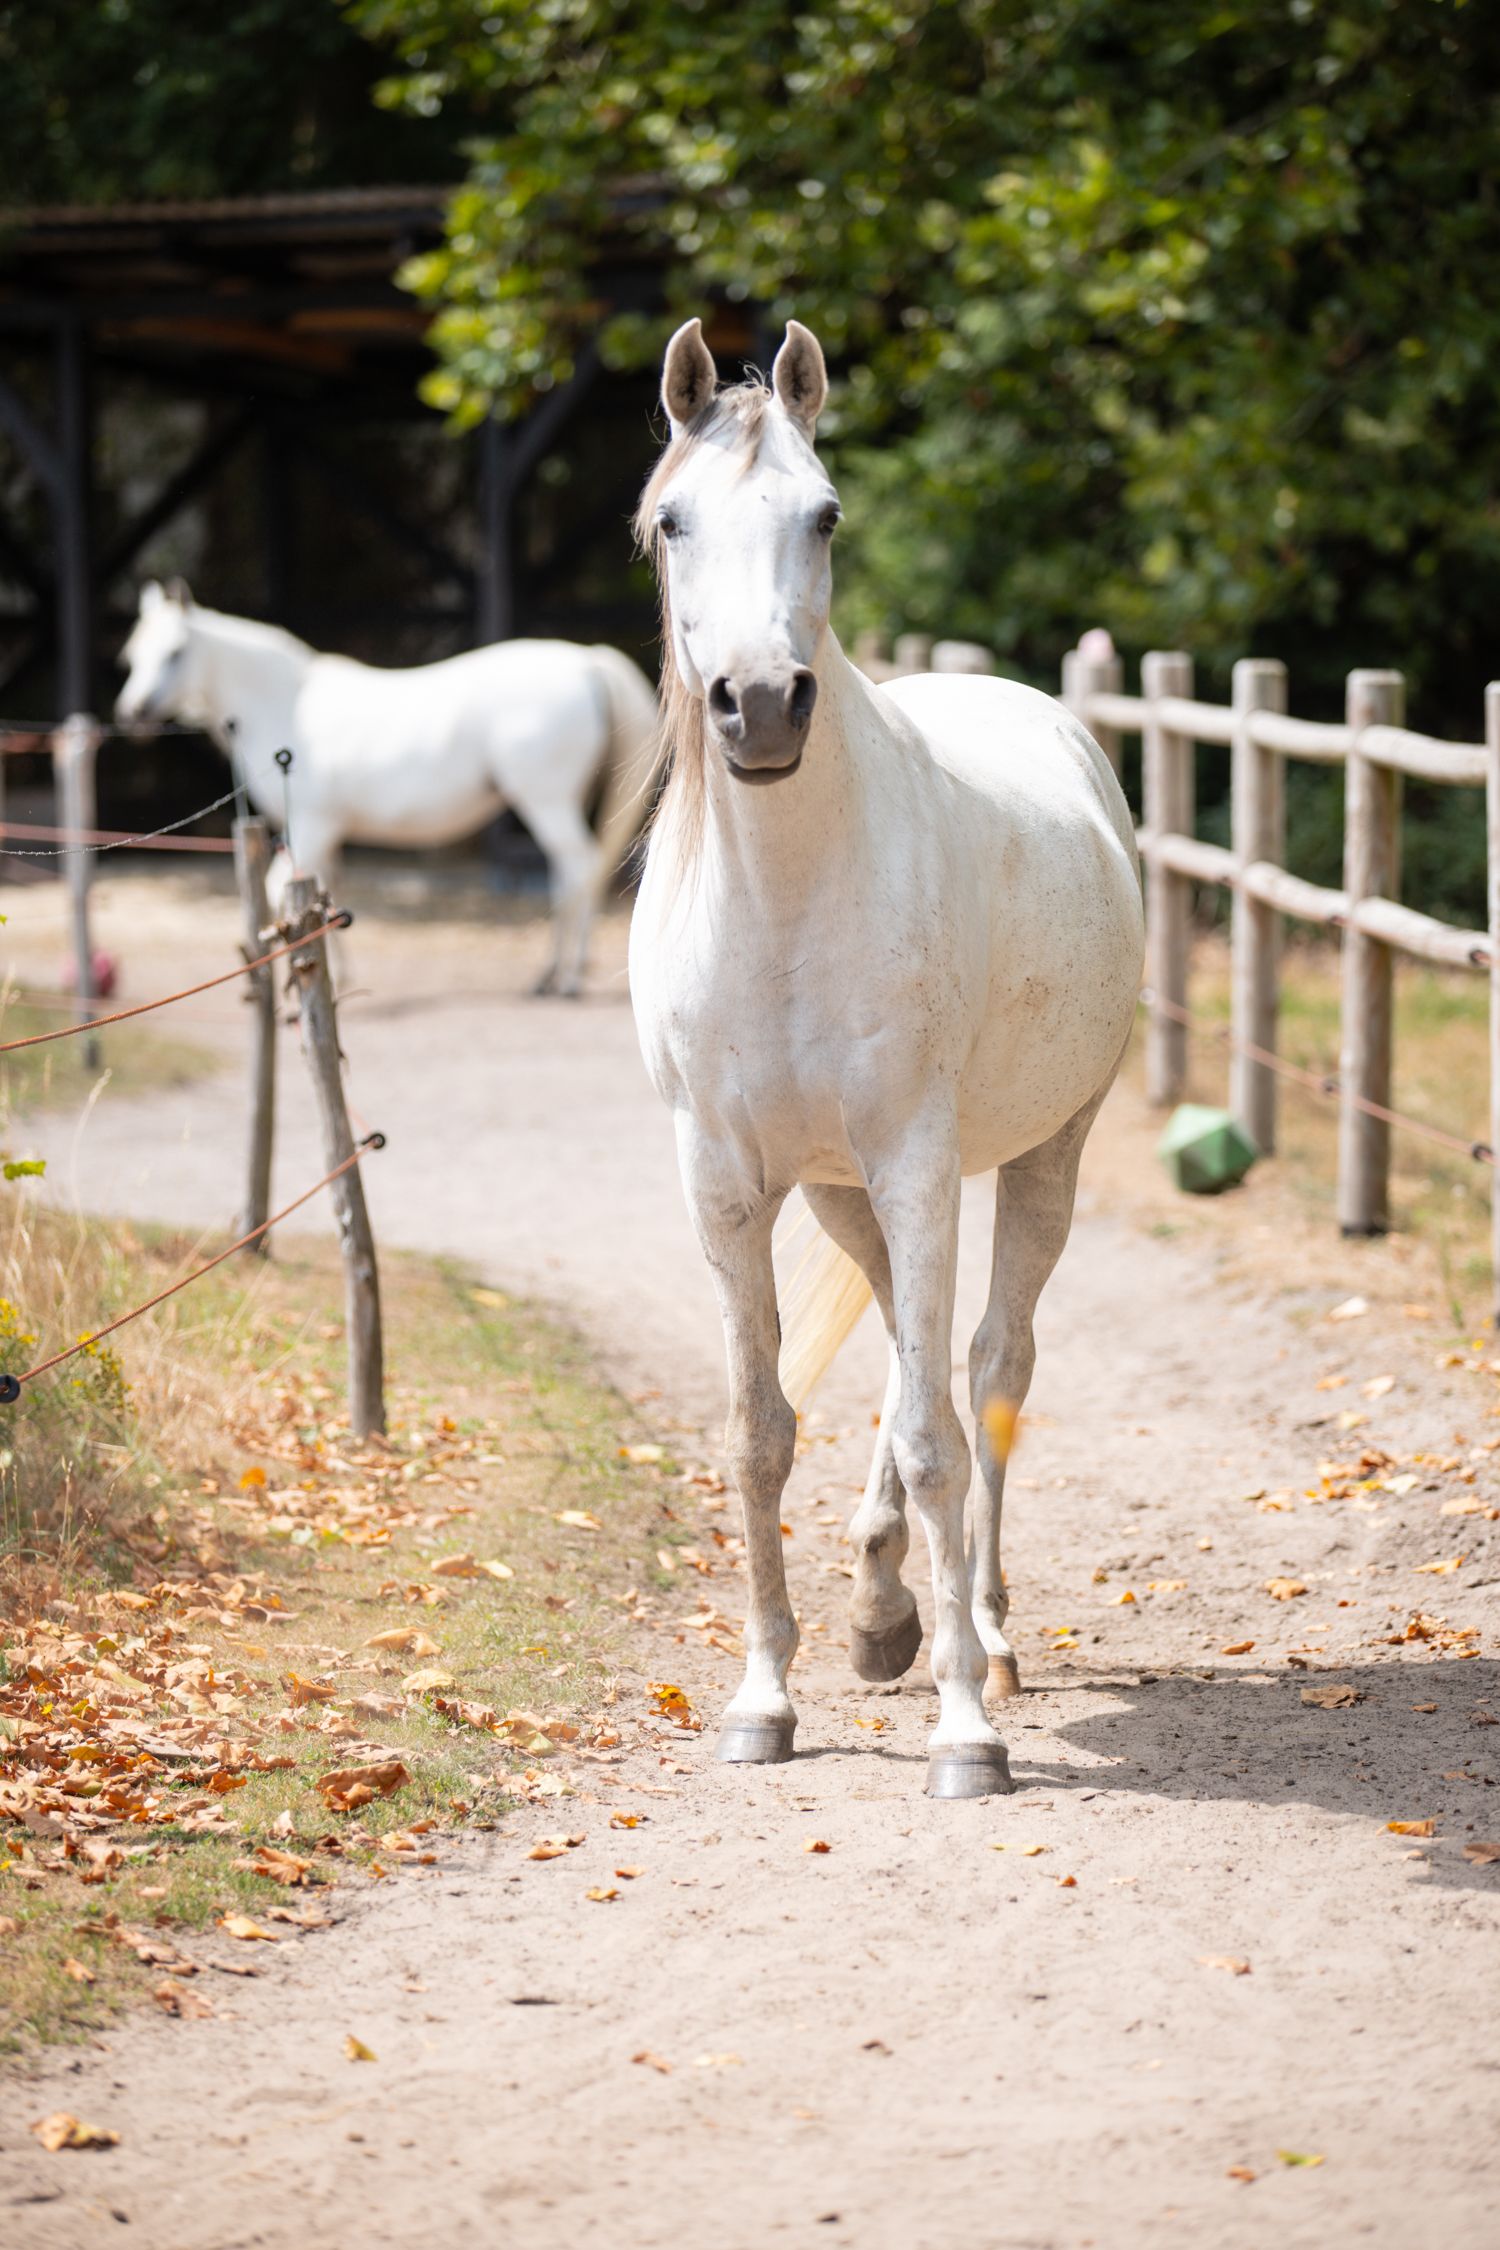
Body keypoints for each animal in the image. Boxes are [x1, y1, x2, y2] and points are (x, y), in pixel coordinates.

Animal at [115, 583, 663, 995]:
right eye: (133, 654)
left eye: (175, 653)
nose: (133, 712)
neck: (285, 702)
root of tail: (587, 662)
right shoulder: (325, 834)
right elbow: (321, 894)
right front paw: (334, 979)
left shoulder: (310, 826)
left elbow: (277, 892)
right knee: (568, 875)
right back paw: (551, 973)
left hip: (544, 802)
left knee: (578, 868)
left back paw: (565, 978)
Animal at [628, 319, 1144, 1797]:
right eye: (672, 522)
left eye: (826, 514)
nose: (758, 707)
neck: (789, 902)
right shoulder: (727, 1186)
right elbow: (759, 1435)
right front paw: (764, 1699)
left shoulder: (920, 1159)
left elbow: (933, 1438)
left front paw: (967, 1730)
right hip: (845, 1191)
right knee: (916, 1367)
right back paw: (878, 1610)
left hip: (1036, 1161)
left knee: (984, 1376)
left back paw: (988, 1634)